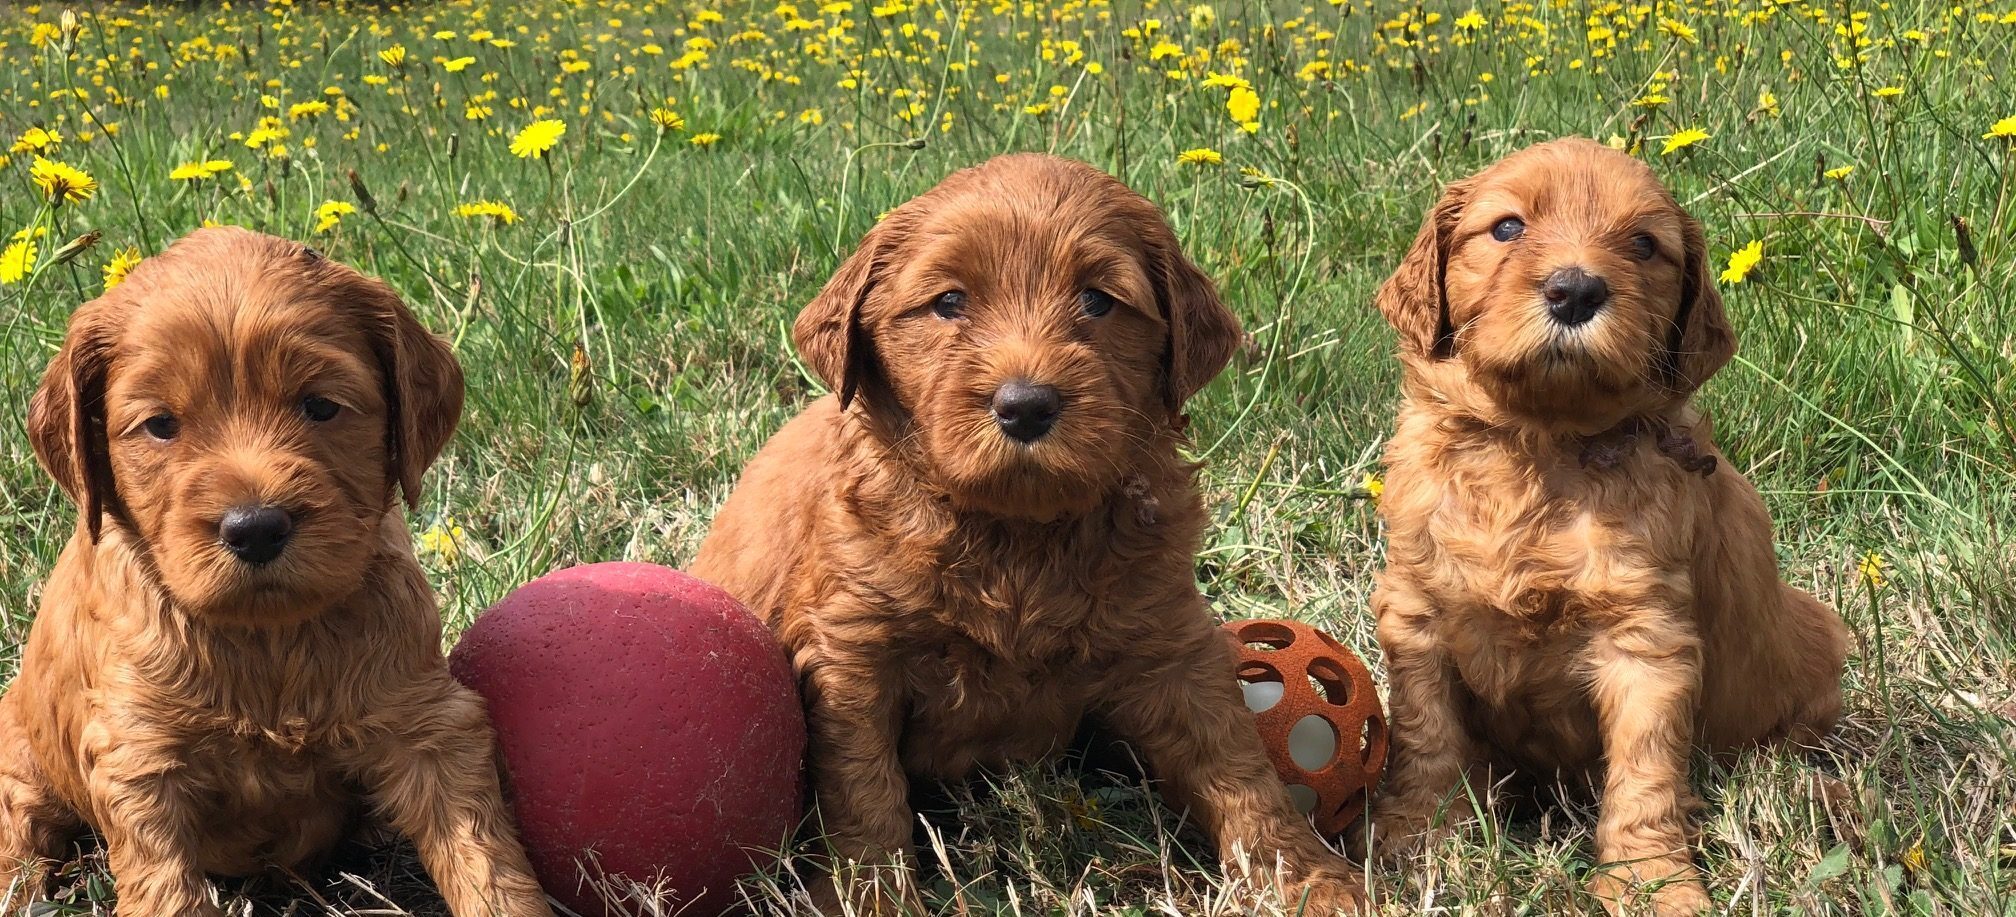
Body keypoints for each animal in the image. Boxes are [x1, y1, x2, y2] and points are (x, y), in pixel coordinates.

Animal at [1, 225, 552, 917]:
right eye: (160, 425)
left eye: (320, 406)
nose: (256, 527)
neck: (272, 639)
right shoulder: (140, 757)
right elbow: (167, 889)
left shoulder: (430, 723)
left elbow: (487, 863)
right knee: (20, 832)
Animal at [685, 154, 1362, 914]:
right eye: (949, 302)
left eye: (1097, 301)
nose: (1026, 405)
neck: (1019, 534)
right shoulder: (851, 652)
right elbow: (864, 789)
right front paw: (874, 895)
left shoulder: (1170, 643)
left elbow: (1236, 762)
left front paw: (1308, 879)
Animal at [1362, 140, 1846, 914]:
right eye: (1507, 228)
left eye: (1645, 245)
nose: (1575, 291)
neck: (1538, 447)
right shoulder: (1416, 610)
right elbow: (1426, 735)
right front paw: (1415, 838)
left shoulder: (1646, 637)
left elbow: (1645, 771)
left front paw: (1653, 882)